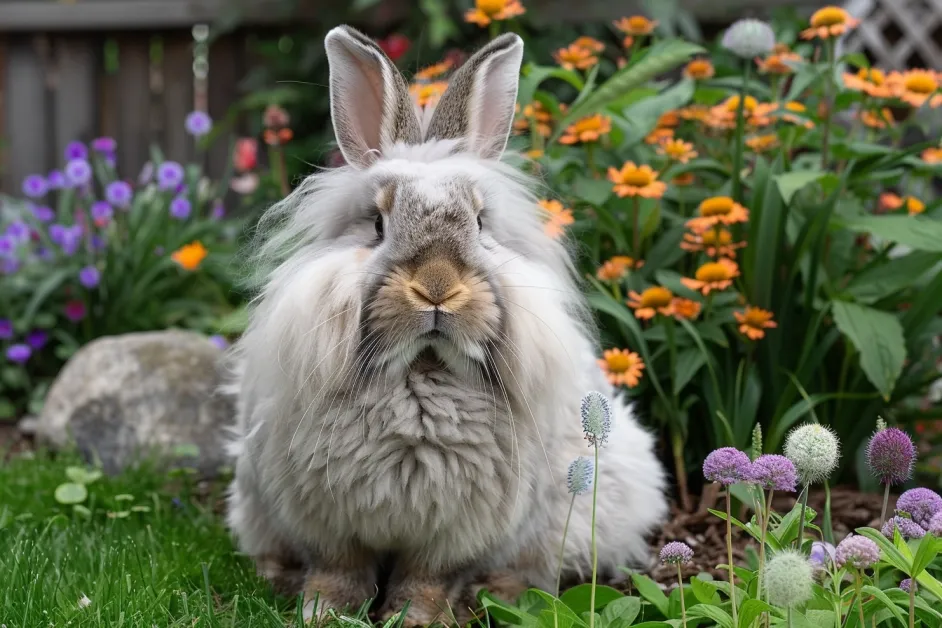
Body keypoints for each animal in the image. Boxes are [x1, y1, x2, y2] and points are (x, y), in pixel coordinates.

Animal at [226, 23, 672, 624]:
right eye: (377, 224)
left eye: (481, 223)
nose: (437, 287)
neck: (421, 375)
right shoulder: (327, 524)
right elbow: (338, 573)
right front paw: (323, 613)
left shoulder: (455, 533)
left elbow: (427, 580)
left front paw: (416, 618)